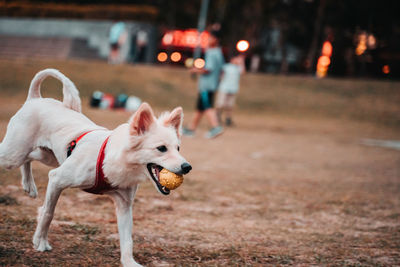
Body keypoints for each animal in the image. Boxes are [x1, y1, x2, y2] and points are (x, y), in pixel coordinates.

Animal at [0, 68, 192, 266]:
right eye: (161, 148)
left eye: (178, 148)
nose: (187, 167)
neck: (117, 162)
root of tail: (35, 98)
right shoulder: (56, 179)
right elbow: (48, 212)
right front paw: (40, 241)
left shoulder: (124, 205)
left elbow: (127, 240)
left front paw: (129, 262)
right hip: (13, 155)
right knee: (19, 157)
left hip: (47, 156)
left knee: (29, 158)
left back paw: (28, 185)